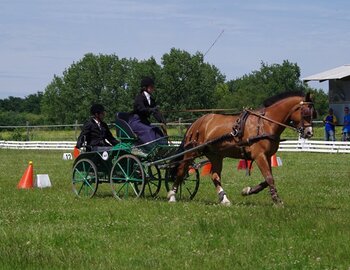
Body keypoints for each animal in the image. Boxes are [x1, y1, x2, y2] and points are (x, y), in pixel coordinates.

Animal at [167, 91, 314, 205]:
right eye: (305, 112)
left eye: (313, 113)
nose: (309, 133)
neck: (265, 123)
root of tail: (195, 123)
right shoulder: (259, 156)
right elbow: (269, 178)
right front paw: (277, 201)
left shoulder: (267, 156)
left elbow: (268, 179)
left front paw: (247, 191)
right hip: (191, 153)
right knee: (181, 172)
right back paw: (172, 196)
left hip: (215, 155)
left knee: (215, 176)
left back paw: (224, 199)